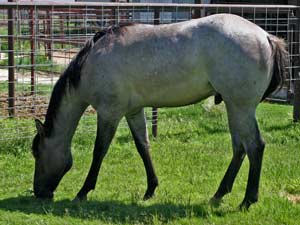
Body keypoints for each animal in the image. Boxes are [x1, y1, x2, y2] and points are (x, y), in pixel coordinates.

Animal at [31, 13, 288, 209]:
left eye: (37, 152)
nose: (39, 192)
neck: (92, 62)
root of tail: (265, 36)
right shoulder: (133, 111)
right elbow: (143, 146)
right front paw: (150, 189)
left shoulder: (109, 112)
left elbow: (99, 151)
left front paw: (83, 191)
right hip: (234, 107)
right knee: (240, 148)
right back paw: (218, 194)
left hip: (241, 107)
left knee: (255, 146)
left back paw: (247, 200)